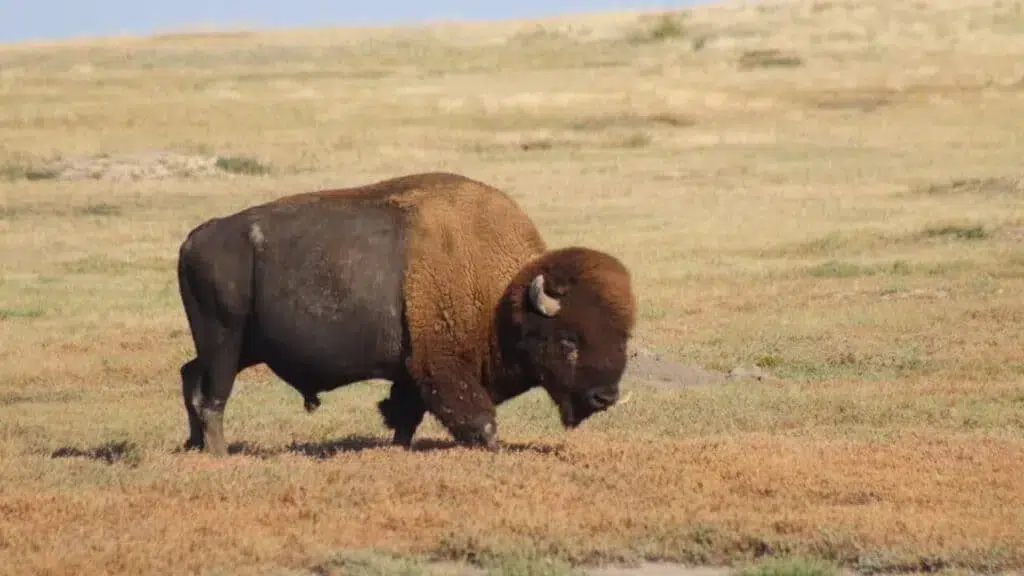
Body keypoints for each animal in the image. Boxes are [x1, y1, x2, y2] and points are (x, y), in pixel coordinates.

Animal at [180, 169, 634, 453]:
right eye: (568, 341)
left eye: (624, 339)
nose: (605, 396)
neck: (503, 296)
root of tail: (196, 237)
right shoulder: (442, 367)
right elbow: (477, 419)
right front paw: (494, 448)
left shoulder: (411, 371)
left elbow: (404, 415)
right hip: (225, 342)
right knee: (212, 397)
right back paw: (219, 454)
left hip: (241, 347)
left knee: (190, 376)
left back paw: (194, 446)